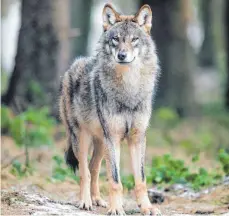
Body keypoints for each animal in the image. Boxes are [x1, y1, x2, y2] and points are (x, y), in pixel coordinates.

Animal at [58, 3, 159, 216]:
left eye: (134, 39)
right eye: (116, 39)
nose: (122, 55)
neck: (129, 88)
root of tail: (72, 66)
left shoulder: (138, 138)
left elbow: (141, 180)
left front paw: (147, 207)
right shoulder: (113, 137)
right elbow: (115, 180)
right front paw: (116, 209)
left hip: (100, 143)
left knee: (93, 168)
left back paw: (97, 199)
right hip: (82, 138)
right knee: (84, 171)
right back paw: (85, 202)